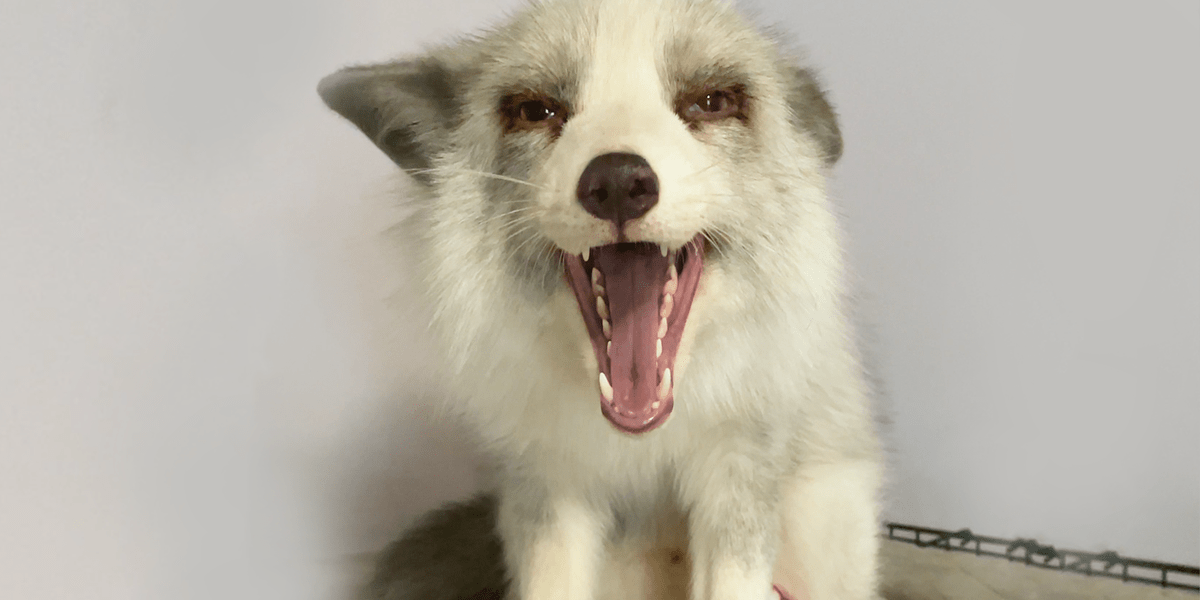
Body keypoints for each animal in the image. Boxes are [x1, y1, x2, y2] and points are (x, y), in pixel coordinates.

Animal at [318, 0, 882, 599]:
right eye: (535, 110)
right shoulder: (551, 487)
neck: (642, 452)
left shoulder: (741, 466)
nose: (616, 182)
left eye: (711, 102)